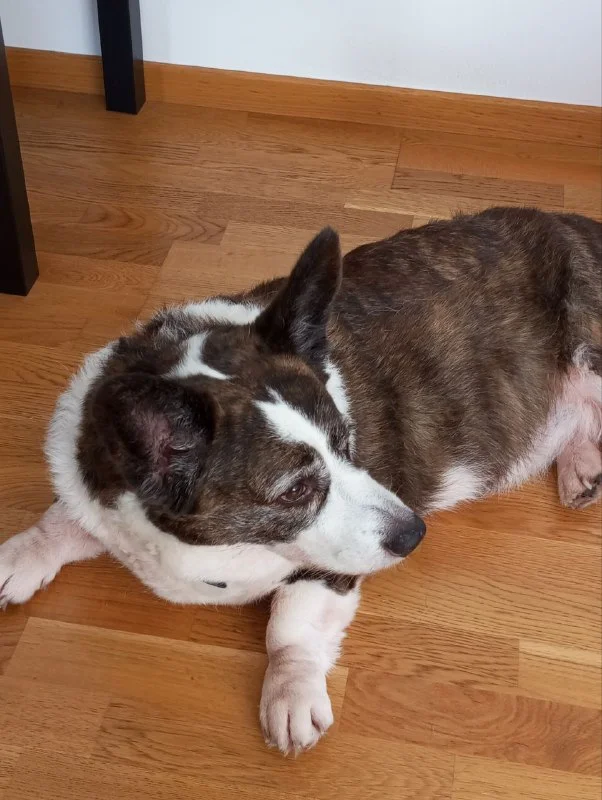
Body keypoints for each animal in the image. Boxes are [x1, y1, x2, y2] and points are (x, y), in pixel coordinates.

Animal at [1, 206, 600, 755]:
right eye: (295, 491)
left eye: (347, 444)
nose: (414, 534)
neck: (225, 546)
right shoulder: (99, 497)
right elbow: (60, 521)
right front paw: (19, 557)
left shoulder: (328, 571)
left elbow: (287, 627)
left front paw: (289, 697)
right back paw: (582, 468)